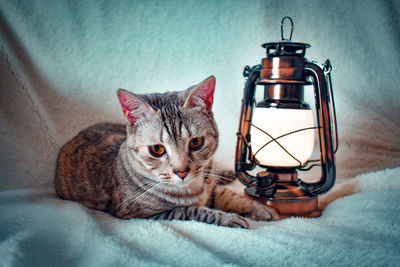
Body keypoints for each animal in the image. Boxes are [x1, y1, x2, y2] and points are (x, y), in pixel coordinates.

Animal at [55, 76, 278, 229]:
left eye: (196, 143)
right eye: (157, 149)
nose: (182, 172)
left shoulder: (210, 187)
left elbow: (228, 195)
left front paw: (259, 208)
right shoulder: (140, 213)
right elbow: (193, 210)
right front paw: (228, 217)